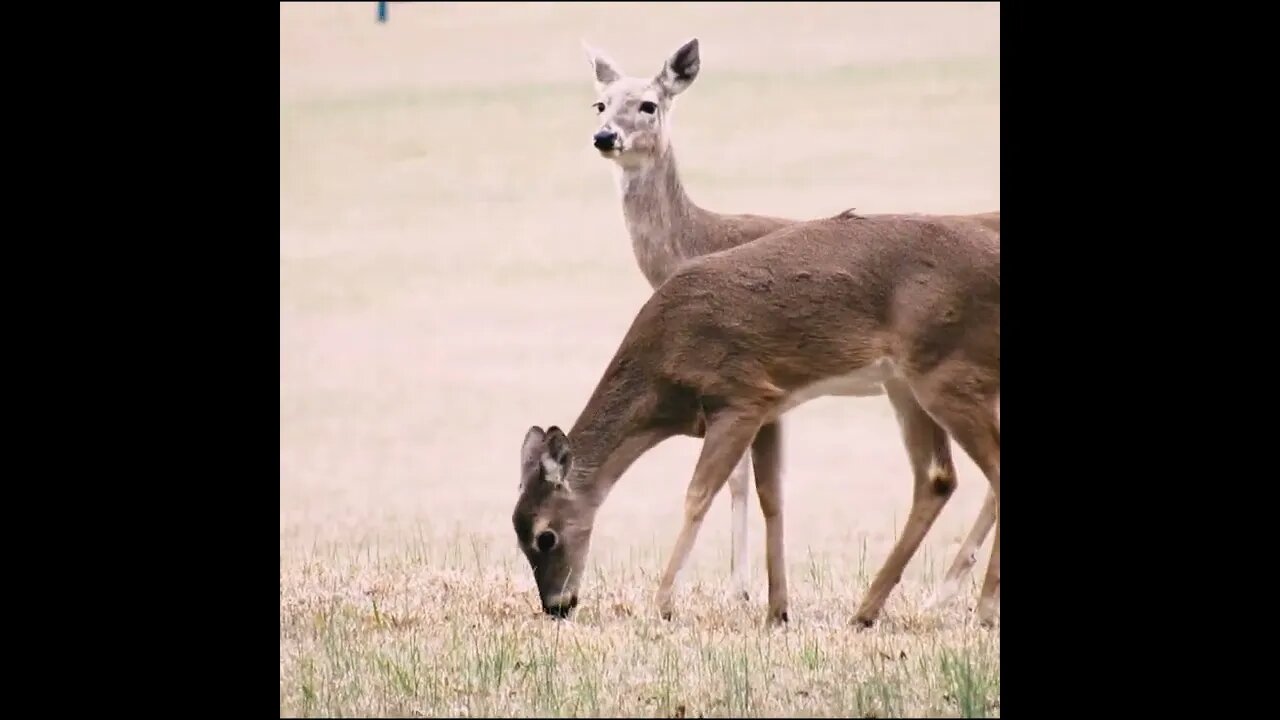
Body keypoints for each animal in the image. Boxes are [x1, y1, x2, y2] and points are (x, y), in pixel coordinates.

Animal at [512, 206, 998, 622]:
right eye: (519, 536)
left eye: (545, 536)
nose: (557, 606)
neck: (664, 379)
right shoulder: (771, 403)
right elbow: (772, 498)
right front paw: (777, 611)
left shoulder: (739, 395)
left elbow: (698, 494)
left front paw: (663, 604)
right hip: (910, 381)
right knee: (937, 477)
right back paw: (866, 611)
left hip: (944, 371)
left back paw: (981, 610)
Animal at [581, 37, 998, 609]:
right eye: (599, 103)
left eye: (649, 104)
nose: (606, 137)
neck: (698, 242)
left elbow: (737, 480)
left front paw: (738, 590)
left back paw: (949, 593)